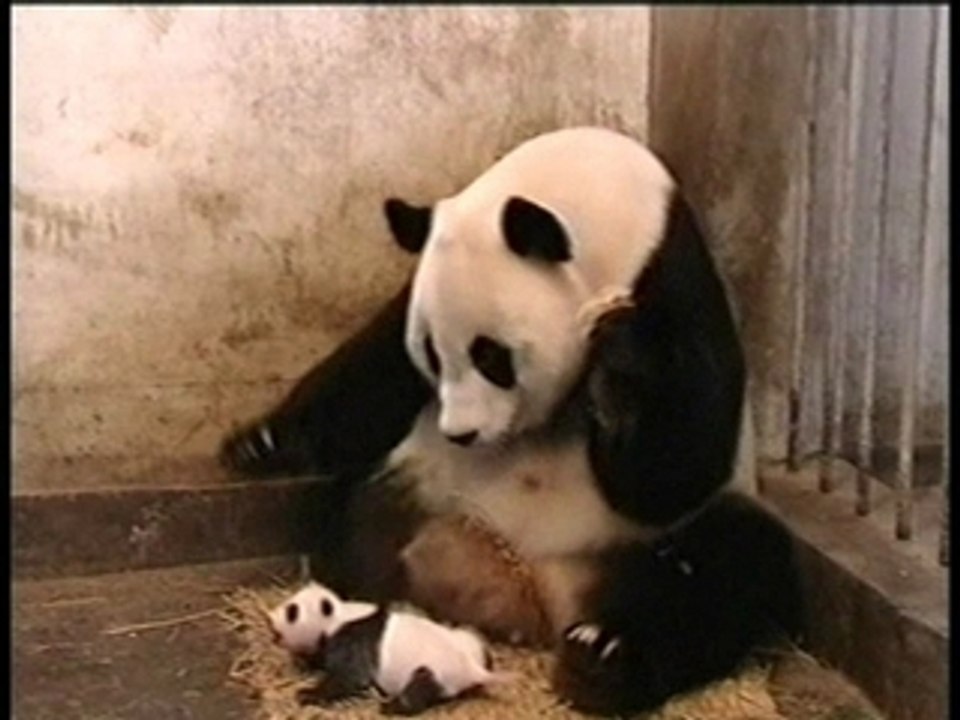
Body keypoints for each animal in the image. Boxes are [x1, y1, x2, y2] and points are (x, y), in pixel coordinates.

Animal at [221, 127, 803, 715]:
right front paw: (261, 444)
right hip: (421, 486)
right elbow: (375, 373)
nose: (461, 434)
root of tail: (531, 595)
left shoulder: (676, 291)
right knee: (358, 519)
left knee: (727, 569)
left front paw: (618, 356)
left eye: (491, 357)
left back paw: (601, 658)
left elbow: (677, 465)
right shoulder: (419, 290)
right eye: (432, 354)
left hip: (641, 544)